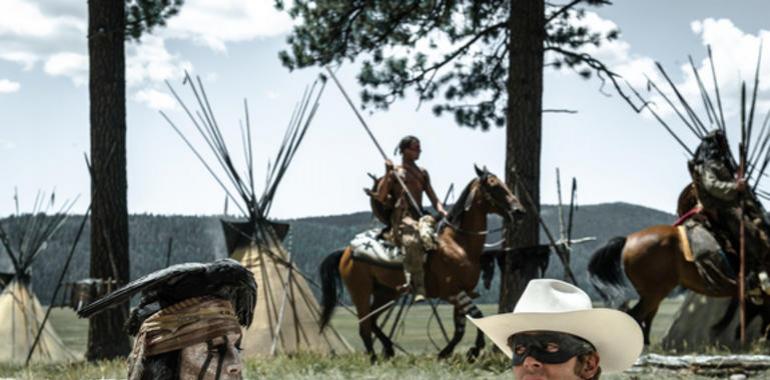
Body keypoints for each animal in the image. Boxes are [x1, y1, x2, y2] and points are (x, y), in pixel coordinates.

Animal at [316, 167, 520, 362]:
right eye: (494, 185)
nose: (518, 210)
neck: (458, 244)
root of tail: (346, 251)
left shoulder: (464, 292)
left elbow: (460, 329)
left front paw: (448, 353)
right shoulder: (452, 292)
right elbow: (477, 317)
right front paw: (473, 350)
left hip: (387, 293)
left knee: (372, 321)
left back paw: (388, 349)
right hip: (361, 292)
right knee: (364, 326)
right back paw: (374, 359)